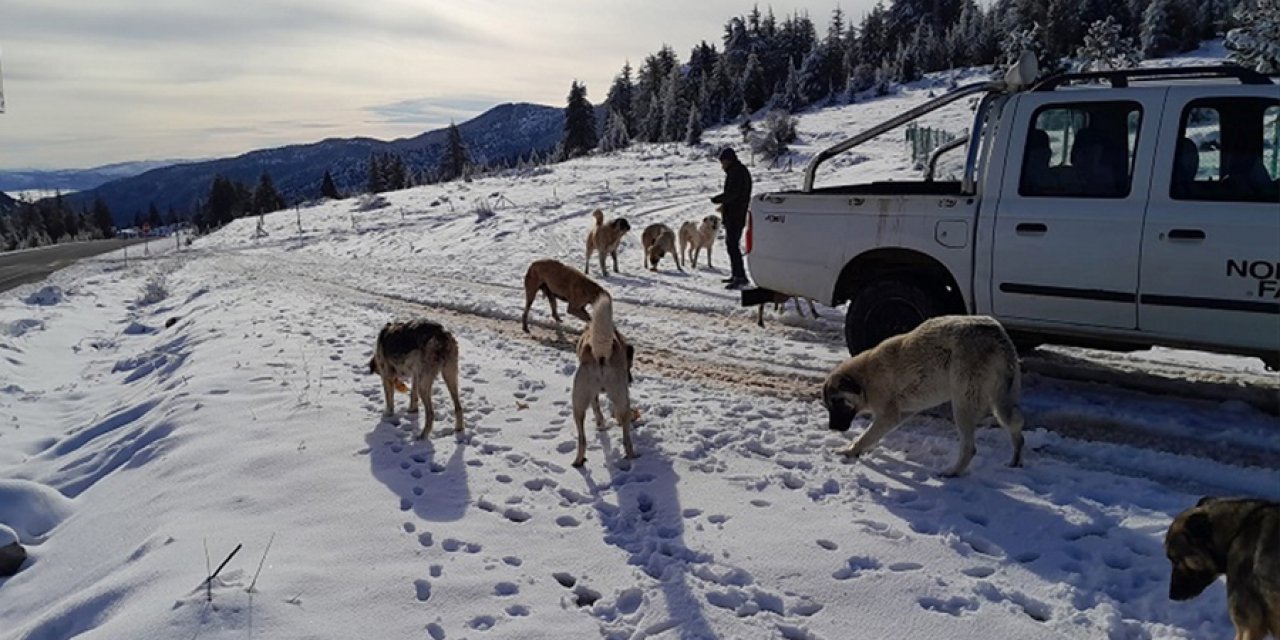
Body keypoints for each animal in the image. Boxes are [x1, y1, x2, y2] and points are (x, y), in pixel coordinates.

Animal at [570, 293, 634, 468]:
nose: (631, 379)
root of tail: (601, 356)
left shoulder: (592, 395)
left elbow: (596, 407)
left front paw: (601, 423)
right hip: (621, 398)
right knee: (626, 434)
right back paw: (632, 455)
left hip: (577, 404)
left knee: (582, 439)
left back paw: (579, 460)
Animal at [824, 314, 1024, 476]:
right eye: (828, 406)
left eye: (837, 402)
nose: (832, 428)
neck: (865, 378)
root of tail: (997, 334)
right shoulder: (901, 414)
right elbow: (873, 436)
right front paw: (862, 450)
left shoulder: (888, 415)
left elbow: (866, 436)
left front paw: (849, 451)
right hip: (1000, 401)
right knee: (1015, 426)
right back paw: (1015, 461)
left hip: (962, 404)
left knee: (970, 448)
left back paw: (951, 473)